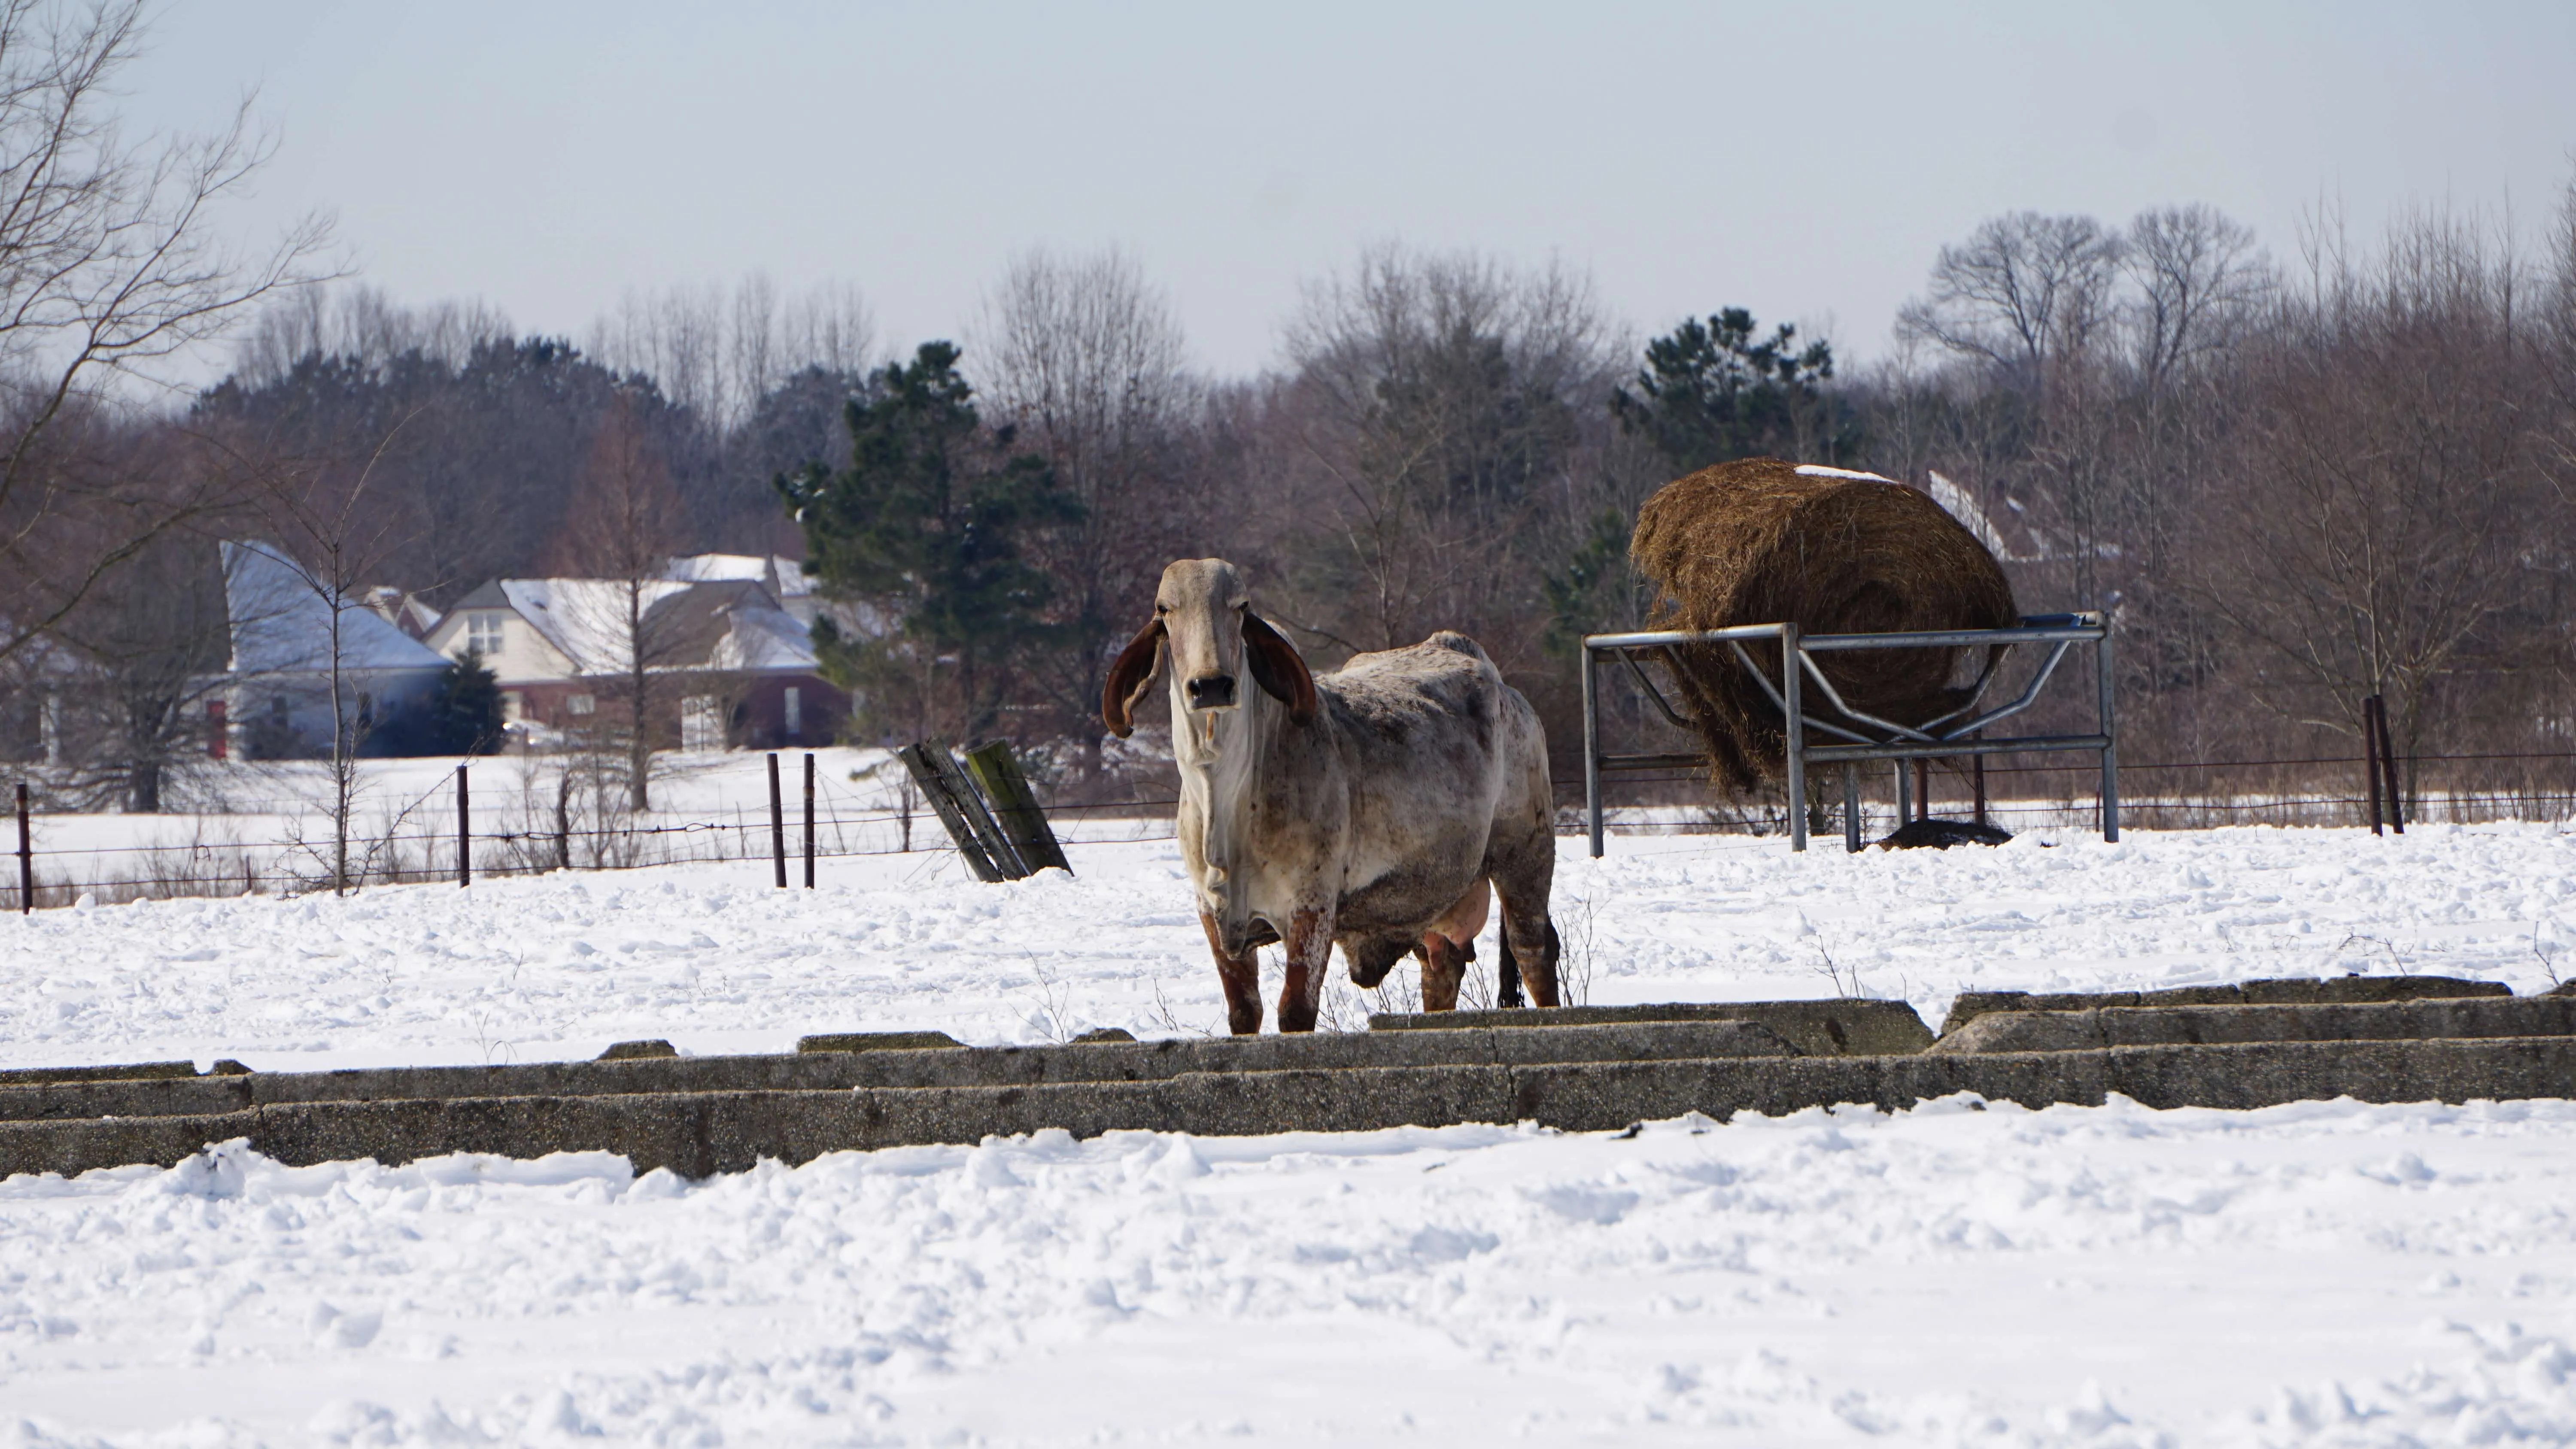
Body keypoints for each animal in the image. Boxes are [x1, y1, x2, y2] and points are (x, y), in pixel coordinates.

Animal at [1097, 556, 1556, 1029]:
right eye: (1165, 609)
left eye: (1241, 606)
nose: (1210, 685)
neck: (1225, 803)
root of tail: (1501, 684)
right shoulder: (1212, 913)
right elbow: (1244, 1012)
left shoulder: (1311, 906)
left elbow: (1295, 1011)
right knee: (1441, 967)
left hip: (1526, 854)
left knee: (1532, 951)